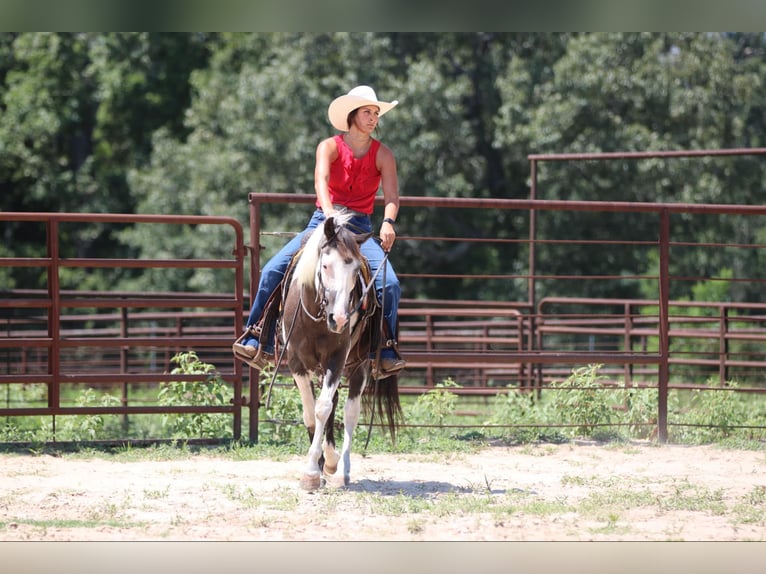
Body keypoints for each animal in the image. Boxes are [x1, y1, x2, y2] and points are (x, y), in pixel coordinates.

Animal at [278, 213, 401, 491]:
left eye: (355, 270)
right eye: (325, 266)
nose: (341, 319)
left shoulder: (337, 358)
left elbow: (322, 408)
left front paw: (313, 471)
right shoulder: (295, 362)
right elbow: (310, 411)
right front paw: (317, 468)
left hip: (358, 365)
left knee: (349, 412)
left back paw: (341, 469)